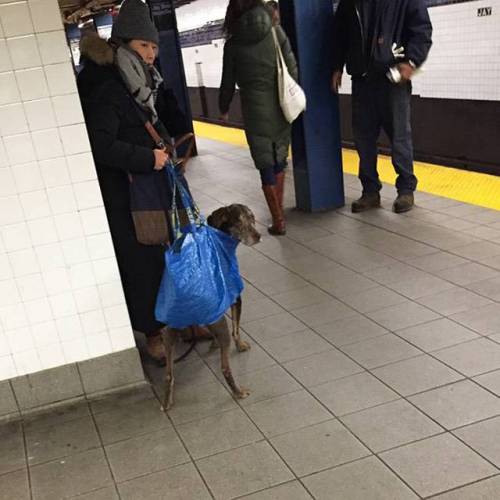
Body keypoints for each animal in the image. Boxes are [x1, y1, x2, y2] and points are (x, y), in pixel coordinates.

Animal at [156, 164, 260, 410]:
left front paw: (211, 343)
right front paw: (240, 345)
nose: (259, 236)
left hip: (168, 333)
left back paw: (167, 402)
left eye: (253, 219)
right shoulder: (236, 298)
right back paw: (238, 391)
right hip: (220, 327)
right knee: (225, 366)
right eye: (240, 222)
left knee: (168, 375)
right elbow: (237, 328)